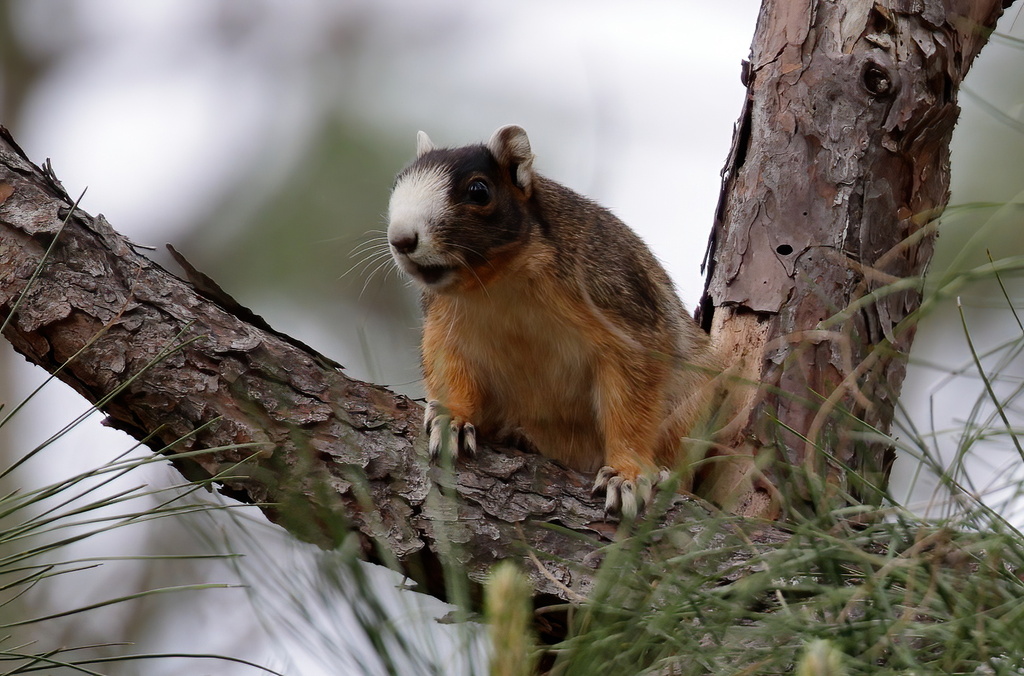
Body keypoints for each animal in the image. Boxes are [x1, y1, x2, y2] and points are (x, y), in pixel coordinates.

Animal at [386, 125, 723, 518]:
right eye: (397, 183)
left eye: (478, 191)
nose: (401, 239)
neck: (499, 282)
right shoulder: (443, 323)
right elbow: (448, 367)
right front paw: (450, 417)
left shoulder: (623, 309)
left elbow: (634, 398)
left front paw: (627, 473)